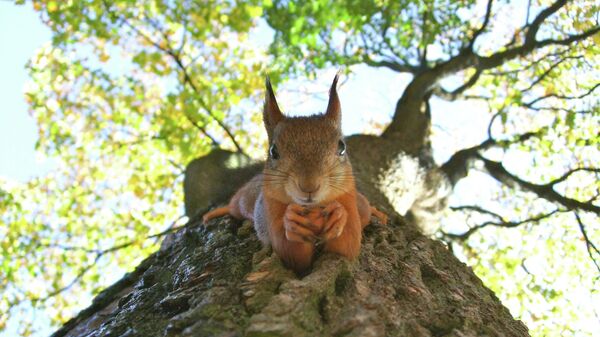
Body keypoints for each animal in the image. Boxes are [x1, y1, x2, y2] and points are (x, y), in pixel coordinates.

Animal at [204, 74, 386, 272]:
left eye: (342, 147)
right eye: (273, 151)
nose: (309, 186)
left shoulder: (348, 200)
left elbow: (347, 245)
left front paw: (339, 215)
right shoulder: (271, 208)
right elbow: (291, 253)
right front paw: (291, 222)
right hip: (244, 201)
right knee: (233, 206)